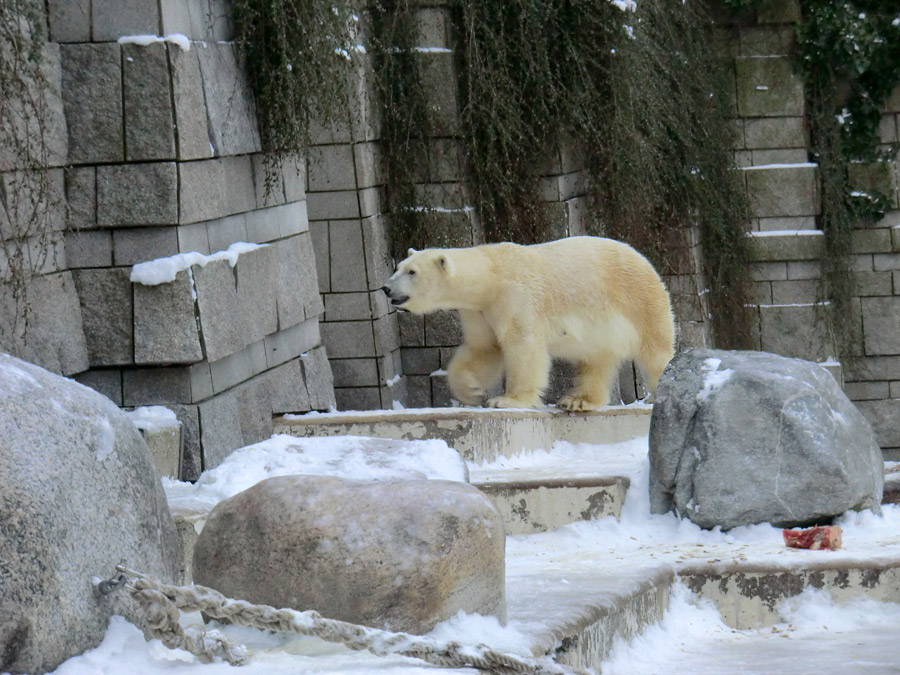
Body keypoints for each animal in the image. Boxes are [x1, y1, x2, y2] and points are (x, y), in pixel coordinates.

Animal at [382, 238, 676, 412]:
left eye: (412, 272)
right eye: (398, 267)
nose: (385, 288)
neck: (490, 275)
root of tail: (645, 260)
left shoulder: (517, 295)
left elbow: (522, 344)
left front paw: (506, 400)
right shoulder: (479, 310)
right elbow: (484, 348)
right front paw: (471, 390)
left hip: (639, 300)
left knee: (656, 351)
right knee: (597, 361)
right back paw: (578, 400)